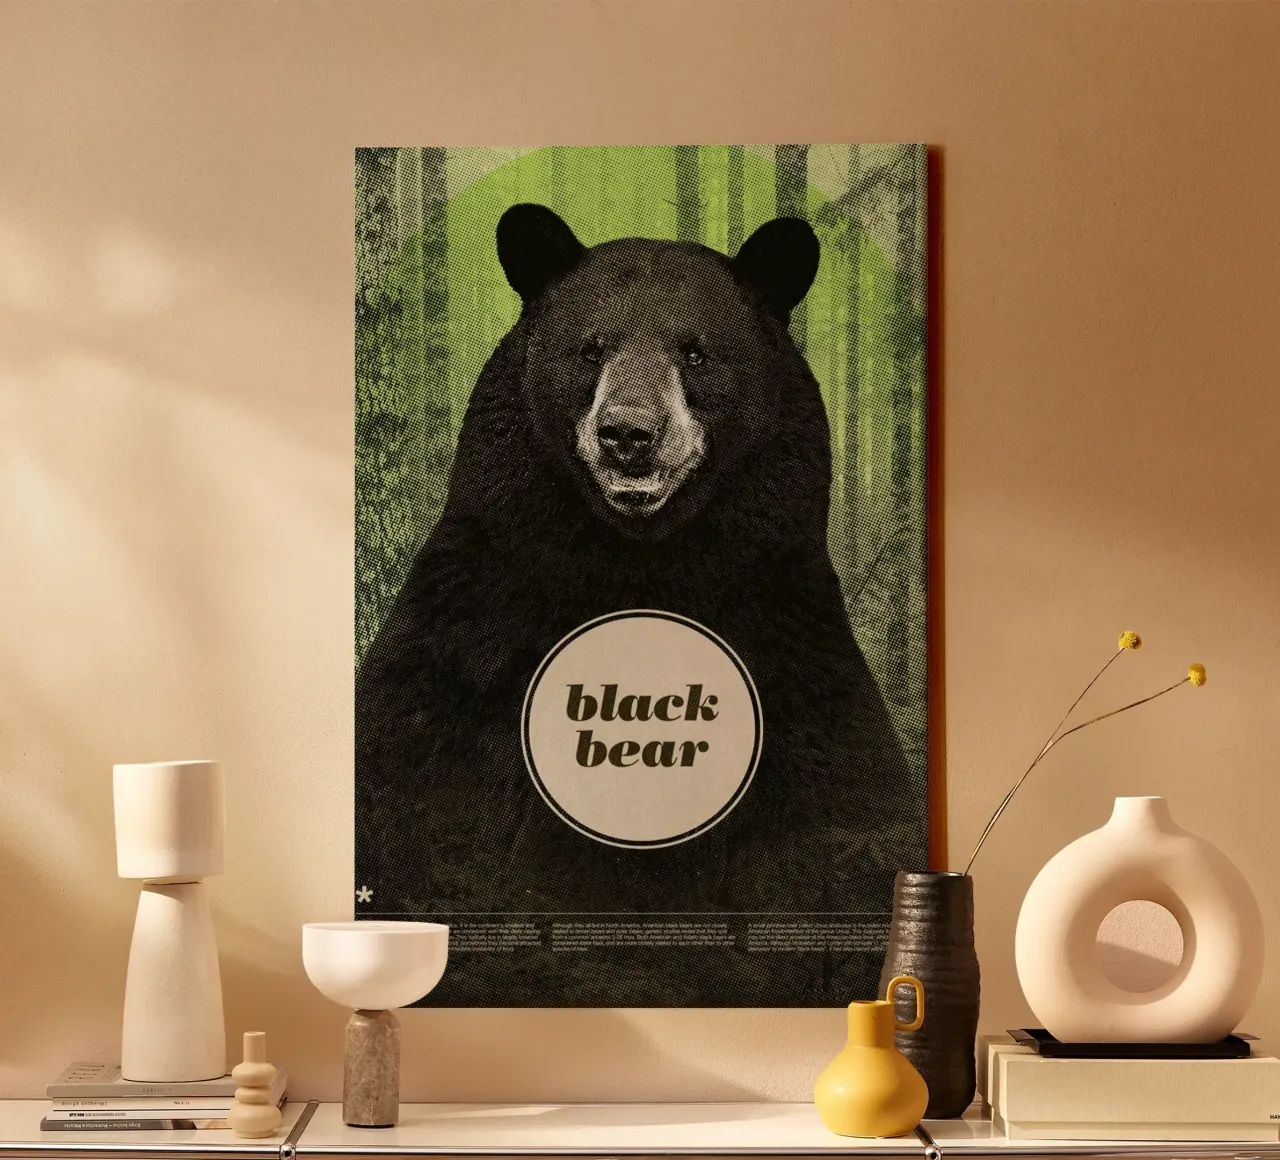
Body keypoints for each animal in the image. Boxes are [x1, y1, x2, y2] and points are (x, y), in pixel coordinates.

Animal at [355, 204, 925, 1006]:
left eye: (696, 352)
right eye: (591, 348)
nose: (629, 433)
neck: (638, 567)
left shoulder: (787, 647)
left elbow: (845, 826)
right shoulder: (474, 632)